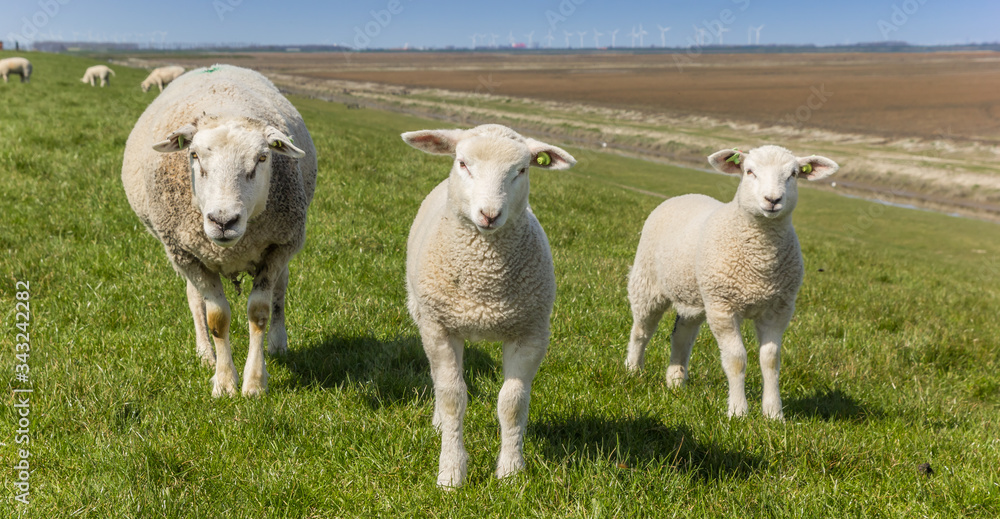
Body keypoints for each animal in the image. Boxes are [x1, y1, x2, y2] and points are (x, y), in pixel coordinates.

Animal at [122, 64, 317, 397]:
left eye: (263, 157)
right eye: (194, 155)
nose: (223, 221)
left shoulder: (278, 248)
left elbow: (259, 313)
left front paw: (254, 383)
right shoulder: (186, 254)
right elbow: (217, 318)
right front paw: (224, 382)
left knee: (281, 289)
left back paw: (278, 343)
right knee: (194, 298)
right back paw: (204, 353)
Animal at [401, 124, 576, 488]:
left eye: (521, 170)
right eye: (463, 163)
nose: (489, 215)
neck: (485, 283)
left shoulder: (531, 333)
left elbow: (512, 403)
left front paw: (511, 471)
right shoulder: (439, 328)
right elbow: (452, 397)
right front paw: (451, 473)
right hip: (425, 315)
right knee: (439, 379)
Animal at [625, 145, 838, 420]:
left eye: (793, 174)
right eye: (749, 171)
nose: (772, 200)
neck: (760, 264)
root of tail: (685, 195)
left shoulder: (778, 308)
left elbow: (770, 359)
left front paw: (773, 413)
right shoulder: (723, 308)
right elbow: (736, 359)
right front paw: (738, 411)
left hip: (696, 295)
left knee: (681, 335)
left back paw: (675, 381)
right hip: (648, 283)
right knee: (642, 330)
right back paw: (633, 370)